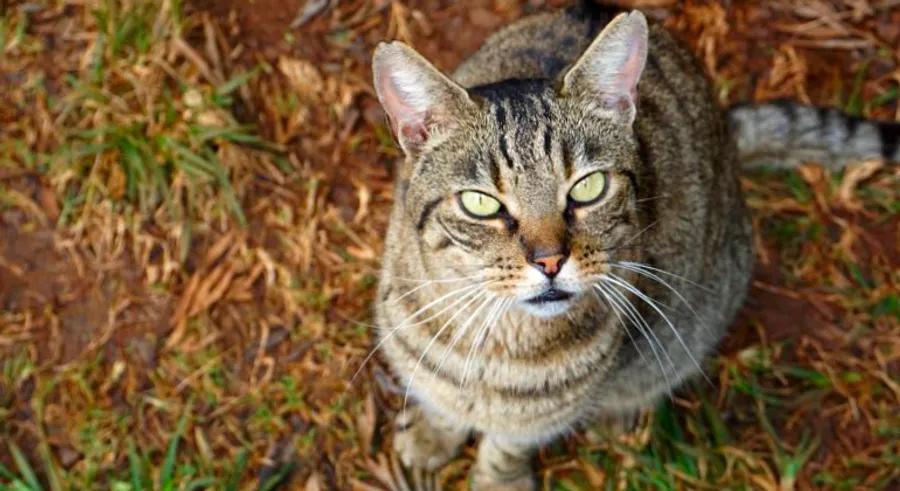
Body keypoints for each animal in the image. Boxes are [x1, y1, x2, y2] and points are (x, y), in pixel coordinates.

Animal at [368, 1, 900, 490]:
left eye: (588, 187)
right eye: (480, 202)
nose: (549, 261)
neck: (494, 341)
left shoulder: (541, 416)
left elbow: (506, 447)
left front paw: (497, 480)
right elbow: (440, 399)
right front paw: (431, 437)